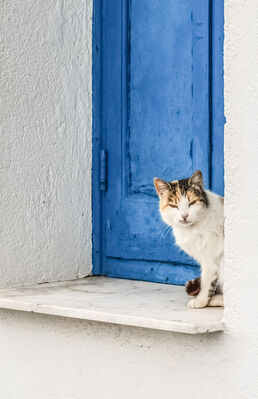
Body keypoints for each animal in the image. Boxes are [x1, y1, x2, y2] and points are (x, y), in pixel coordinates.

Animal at [153, 170, 224, 310]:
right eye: (173, 205)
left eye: (192, 203)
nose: (184, 216)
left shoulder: (210, 258)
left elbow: (206, 280)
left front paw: (201, 301)